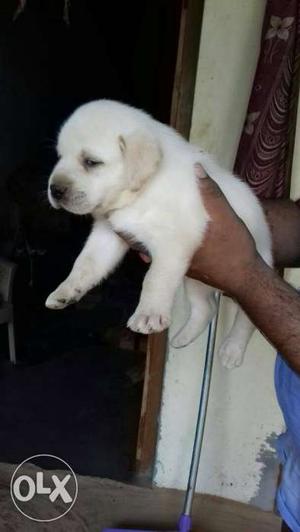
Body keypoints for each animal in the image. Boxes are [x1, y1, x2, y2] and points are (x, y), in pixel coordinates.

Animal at [45, 100, 272, 368]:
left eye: (91, 162)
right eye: (60, 156)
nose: (54, 190)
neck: (140, 192)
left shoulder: (173, 243)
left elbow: (154, 279)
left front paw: (148, 315)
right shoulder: (108, 235)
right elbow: (85, 264)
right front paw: (65, 291)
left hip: (244, 281)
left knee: (247, 321)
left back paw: (232, 350)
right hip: (195, 280)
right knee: (206, 308)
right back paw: (183, 337)